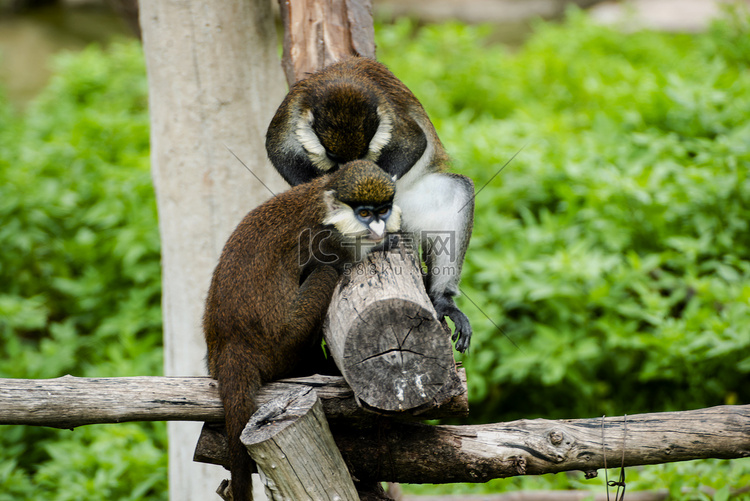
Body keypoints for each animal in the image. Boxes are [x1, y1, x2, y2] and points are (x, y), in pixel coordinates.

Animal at [203, 160, 402, 500]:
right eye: (364, 213)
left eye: (383, 210)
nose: (378, 229)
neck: (324, 203)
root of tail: (233, 346)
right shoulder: (330, 241)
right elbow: (340, 265)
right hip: (283, 343)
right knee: (325, 273)